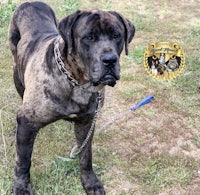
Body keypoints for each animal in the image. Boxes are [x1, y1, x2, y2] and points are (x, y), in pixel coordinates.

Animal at [9, 1, 134, 193]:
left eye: (116, 35)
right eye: (89, 37)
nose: (110, 60)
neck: (78, 83)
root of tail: (31, 3)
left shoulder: (87, 123)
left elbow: (86, 155)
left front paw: (90, 181)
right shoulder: (27, 122)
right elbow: (23, 160)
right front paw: (21, 186)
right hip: (17, 69)